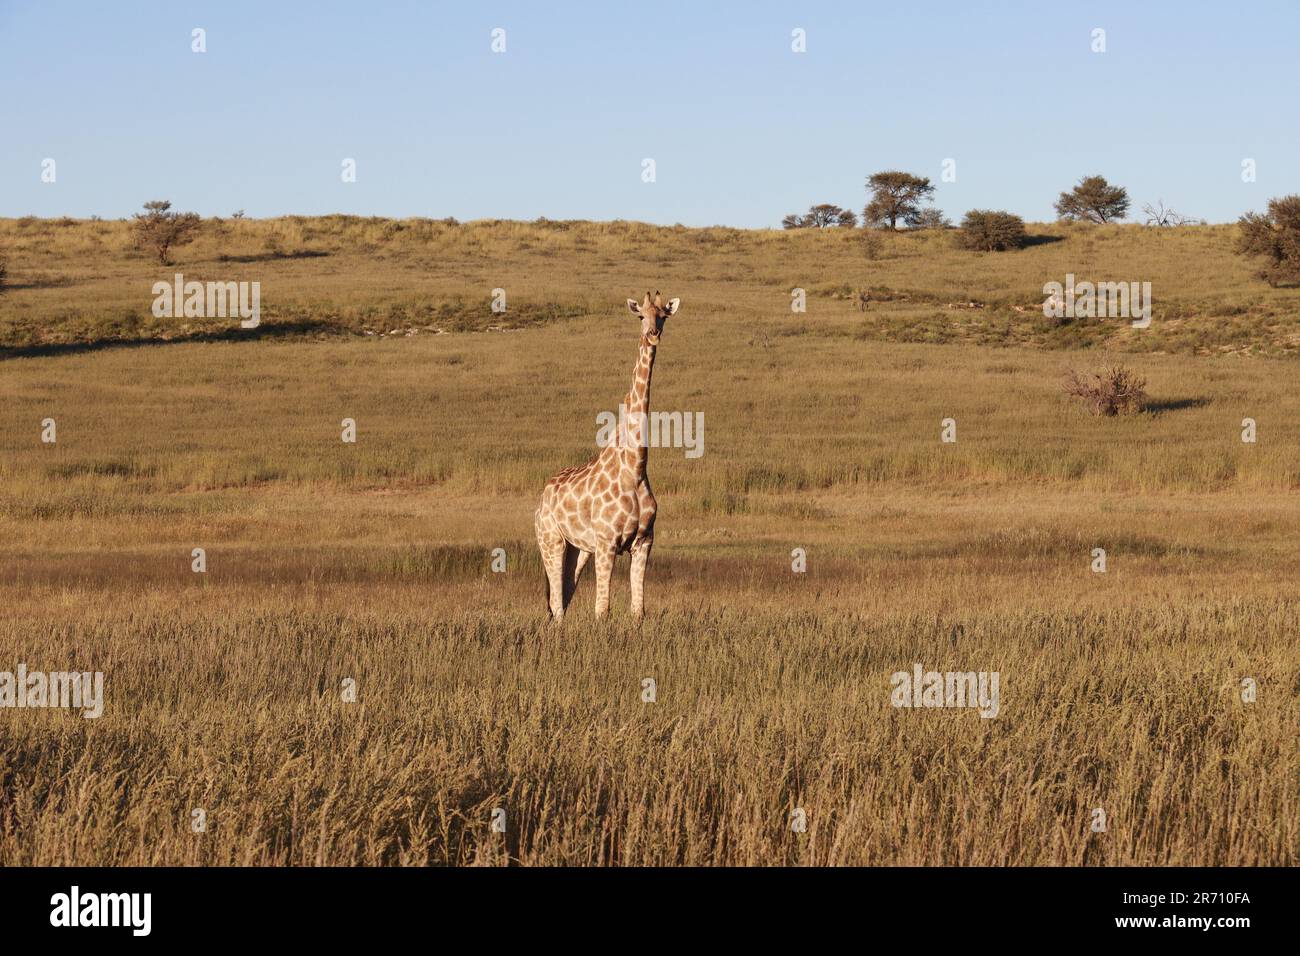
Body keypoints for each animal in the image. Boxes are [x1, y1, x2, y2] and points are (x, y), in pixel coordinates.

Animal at [534, 290, 681, 621]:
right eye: (640, 316)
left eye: (663, 316)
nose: (653, 334)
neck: (635, 468)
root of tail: (543, 496)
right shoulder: (607, 542)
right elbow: (603, 609)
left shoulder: (643, 542)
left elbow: (638, 610)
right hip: (551, 539)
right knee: (557, 604)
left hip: (579, 549)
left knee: (564, 596)